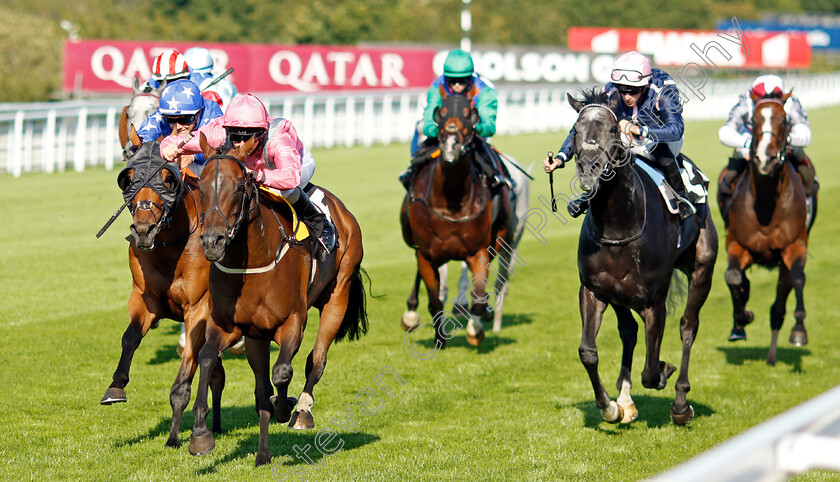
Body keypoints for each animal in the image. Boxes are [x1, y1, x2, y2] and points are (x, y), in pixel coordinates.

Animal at [100, 130, 225, 450]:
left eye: (167, 179)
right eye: (129, 177)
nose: (143, 230)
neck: (171, 244)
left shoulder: (198, 309)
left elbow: (187, 369)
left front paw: (174, 436)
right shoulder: (145, 299)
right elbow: (130, 337)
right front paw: (116, 387)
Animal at [190, 134, 368, 466]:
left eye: (240, 186)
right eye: (202, 187)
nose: (212, 241)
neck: (254, 259)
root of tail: (341, 209)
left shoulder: (293, 321)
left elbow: (283, 372)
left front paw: (285, 407)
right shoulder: (230, 325)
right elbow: (207, 358)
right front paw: (200, 435)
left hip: (338, 295)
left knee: (316, 359)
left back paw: (302, 411)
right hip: (257, 336)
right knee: (261, 386)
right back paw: (263, 454)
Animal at [398, 93, 516, 346]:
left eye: (469, 116)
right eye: (441, 115)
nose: (451, 143)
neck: (451, 200)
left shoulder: (478, 250)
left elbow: (479, 298)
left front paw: (476, 327)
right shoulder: (426, 253)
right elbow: (434, 300)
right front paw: (439, 338)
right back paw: (411, 312)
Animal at [560, 90, 720, 426]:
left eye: (612, 129)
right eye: (575, 130)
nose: (590, 168)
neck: (619, 224)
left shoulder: (654, 301)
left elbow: (650, 370)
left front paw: (664, 372)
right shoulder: (594, 290)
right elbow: (588, 351)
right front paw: (610, 406)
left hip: (702, 268)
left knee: (688, 326)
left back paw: (681, 403)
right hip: (619, 294)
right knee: (629, 332)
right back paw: (625, 399)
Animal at [720, 93, 812, 366]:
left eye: (784, 120)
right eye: (754, 120)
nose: (764, 160)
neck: (766, 205)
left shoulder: (794, 245)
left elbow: (798, 278)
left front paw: (799, 331)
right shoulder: (738, 244)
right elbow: (733, 277)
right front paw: (743, 318)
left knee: (780, 301)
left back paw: (773, 353)